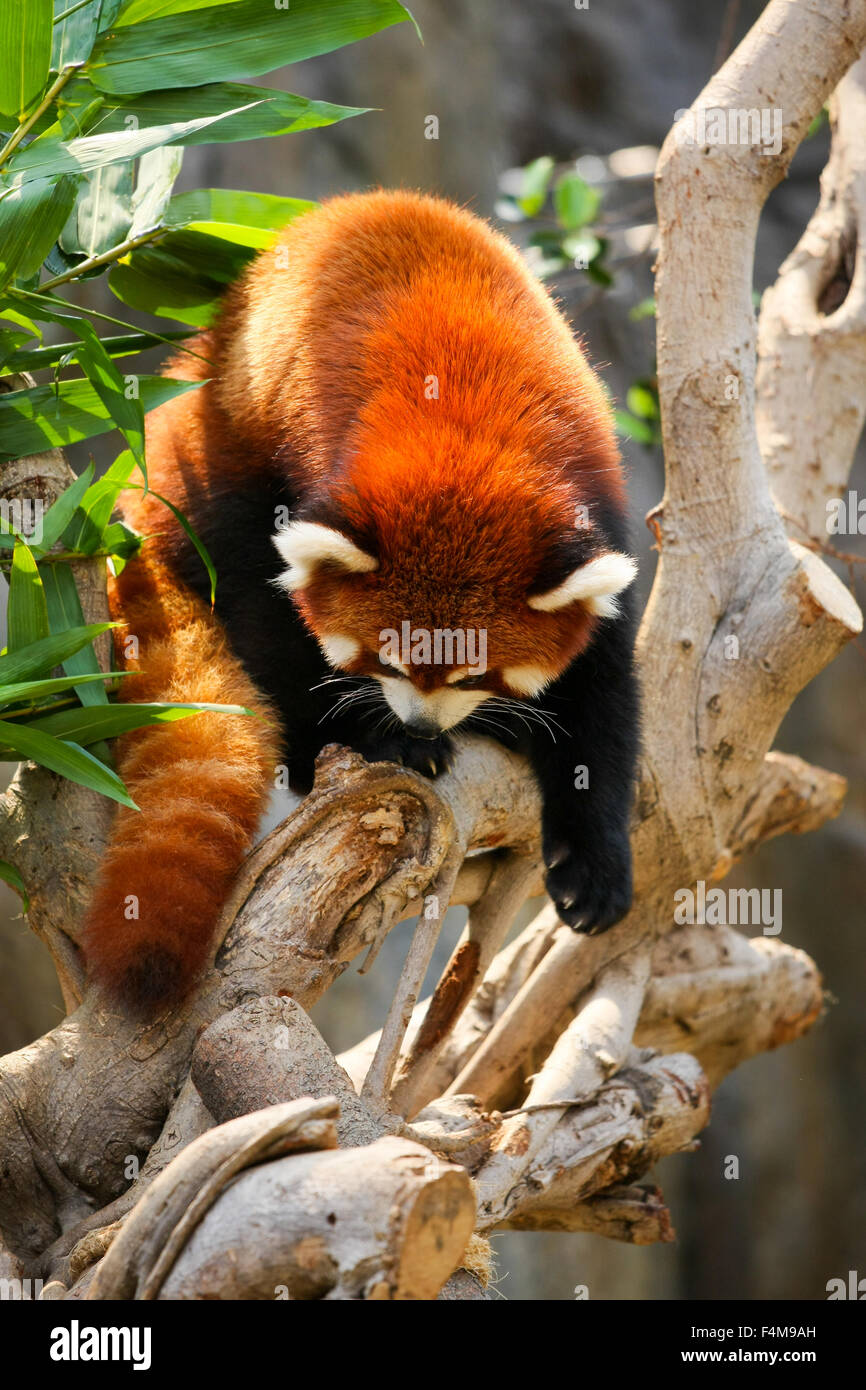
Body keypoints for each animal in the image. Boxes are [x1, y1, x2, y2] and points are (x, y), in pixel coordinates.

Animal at [84, 187, 639, 1011]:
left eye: (478, 675)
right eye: (388, 660)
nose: (419, 720)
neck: (463, 432)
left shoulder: (596, 510)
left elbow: (603, 702)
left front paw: (596, 863)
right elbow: (278, 629)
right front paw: (388, 741)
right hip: (214, 452)